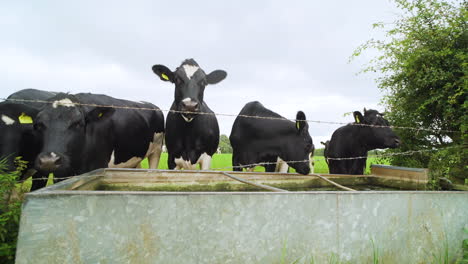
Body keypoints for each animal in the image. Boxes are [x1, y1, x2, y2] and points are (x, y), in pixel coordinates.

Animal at [33, 92, 165, 189]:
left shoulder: (98, 166)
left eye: (78, 123)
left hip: (157, 149)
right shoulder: (60, 174)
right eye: (38, 124)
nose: (49, 161)